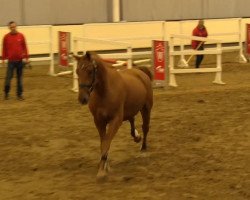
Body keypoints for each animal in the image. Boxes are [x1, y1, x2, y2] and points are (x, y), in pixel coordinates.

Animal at [73, 51, 153, 181]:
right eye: (77, 71)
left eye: (90, 70)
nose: (82, 98)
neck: (104, 92)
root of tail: (140, 72)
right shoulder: (99, 121)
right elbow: (104, 142)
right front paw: (105, 166)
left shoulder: (115, 120)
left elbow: (107, 141)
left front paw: (102, 170)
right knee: (132, 119)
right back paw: (136, 137)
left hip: (146, 108)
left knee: (145, 127)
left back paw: (143, 149)